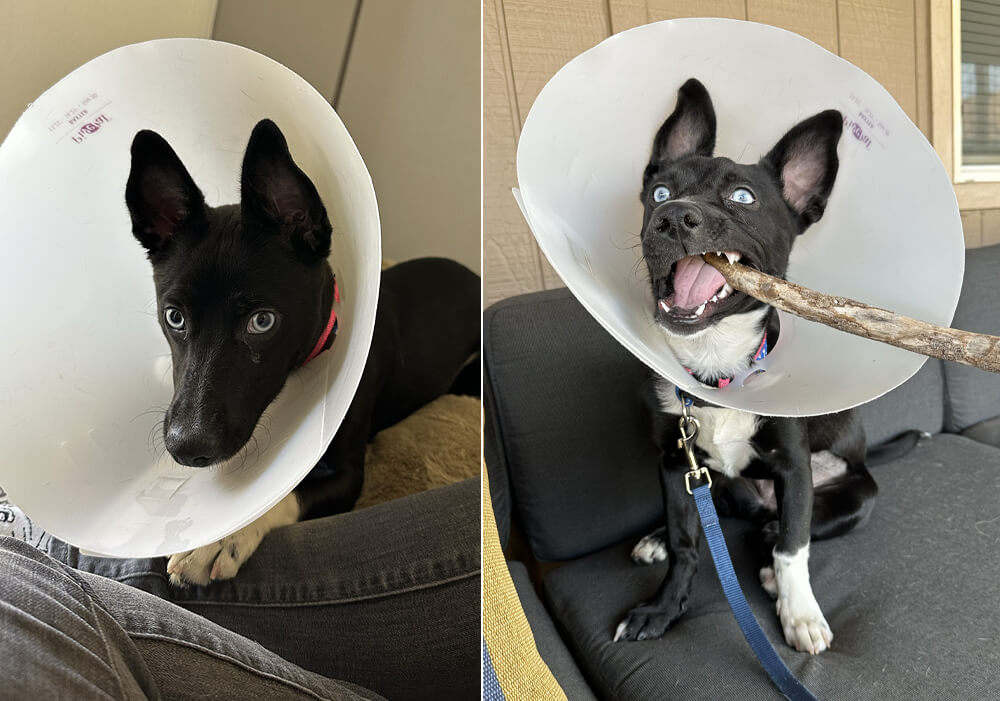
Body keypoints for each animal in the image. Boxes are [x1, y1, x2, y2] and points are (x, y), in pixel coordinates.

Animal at [126, 117, 480, 584]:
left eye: (262, 321)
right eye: (174, 317)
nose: (186, 446)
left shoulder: (348, 476)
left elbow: (290, 494)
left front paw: (222, 538)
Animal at [612, 79, 880, 652]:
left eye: (742, 198)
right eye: (659, 193)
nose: (672, 217)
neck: (716, 366)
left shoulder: (795, 469)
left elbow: (792, 549)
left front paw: (799, 614)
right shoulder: (675, 462)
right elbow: (687, 540)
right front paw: (663, 607)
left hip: (855, 493)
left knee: (778, 531)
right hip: (716, 481)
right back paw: (657, 539)